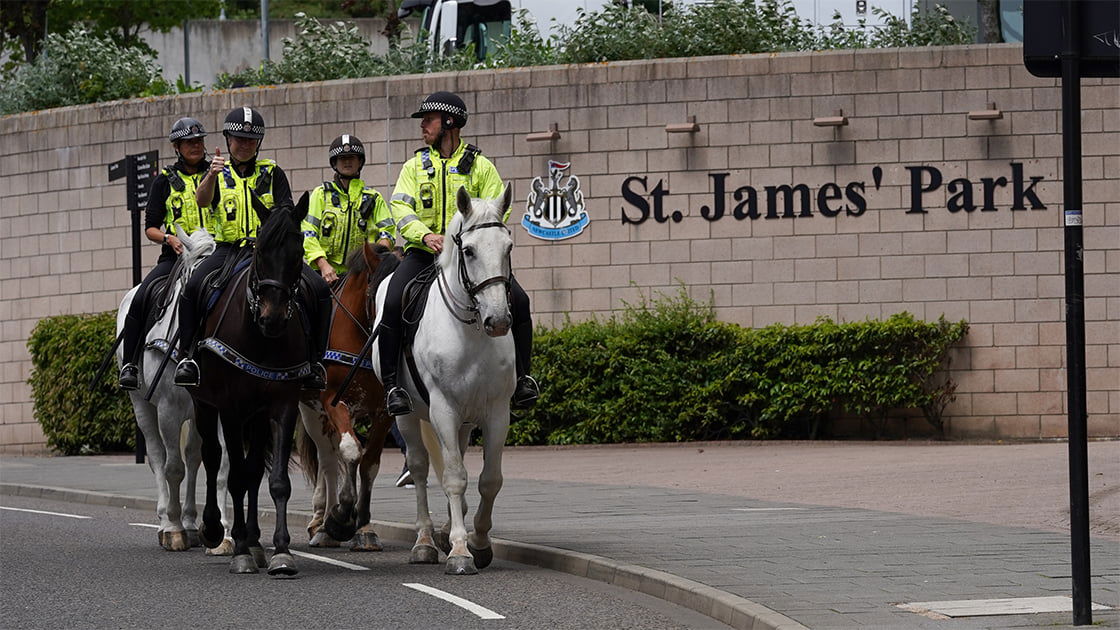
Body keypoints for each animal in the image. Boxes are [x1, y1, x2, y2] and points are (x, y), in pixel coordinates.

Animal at [115, 226, 229, 549]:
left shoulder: (217, 409)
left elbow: (220, 467)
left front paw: (222, 533)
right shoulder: (168, 410)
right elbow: (172, 468)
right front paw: (173, 529)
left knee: (192, 457)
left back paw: (191, 522)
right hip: (142, 405)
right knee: (157, 457)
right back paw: (168, 519)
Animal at [188, 201, 311, 573]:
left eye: (298, 253)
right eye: (260, 252)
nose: (272, 318)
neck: (261, 339)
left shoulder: (282, 406)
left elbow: (275, 481)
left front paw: (281, 552)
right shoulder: (230, 408)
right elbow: (236, 476)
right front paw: (239, 549)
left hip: (256, 416)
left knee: (255, 469)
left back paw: (256, 542)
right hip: (204, 404)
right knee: (213, 457)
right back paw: (216, 530)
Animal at [300, 241, 400, 549]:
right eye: (377, 293)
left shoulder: (383, 411)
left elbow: (368, 462)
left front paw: (363, 526)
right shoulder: (333, 401)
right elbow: (351, 451)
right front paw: (341, 515)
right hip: (310, 408)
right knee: (328, 460)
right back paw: (323, 524)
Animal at [374, 182, 517, 573]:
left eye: (508, 247)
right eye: (468, 250)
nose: (499, 320)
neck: (470, 331)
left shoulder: (498, 412)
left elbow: (490, 480)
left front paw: (479, 541)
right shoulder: (443, 409)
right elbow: (453, 478)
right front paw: (459, 550)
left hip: (465, 421)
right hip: (409, 415)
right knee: (421, 469)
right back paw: (425, 541)